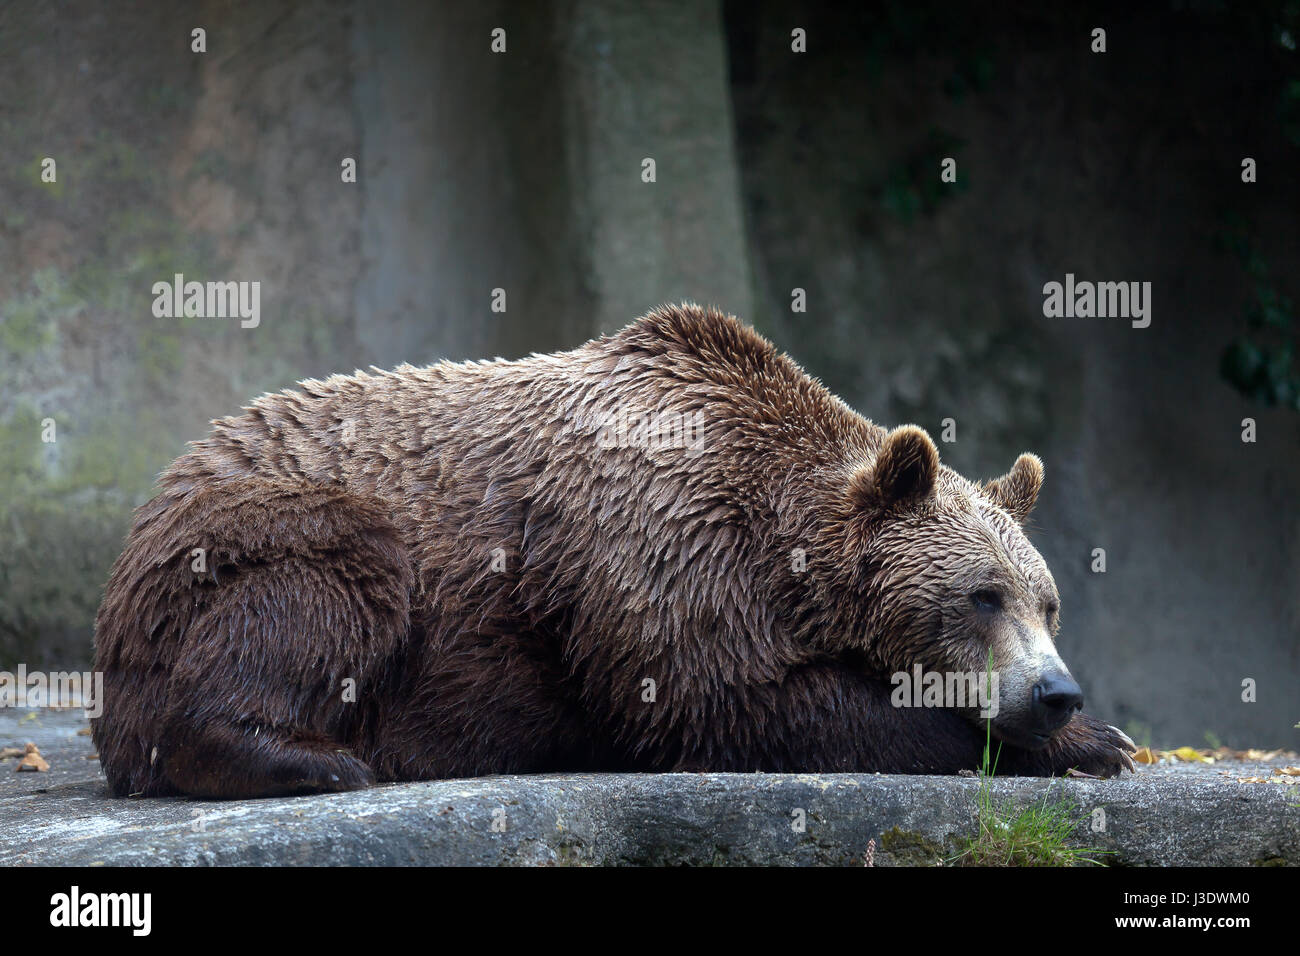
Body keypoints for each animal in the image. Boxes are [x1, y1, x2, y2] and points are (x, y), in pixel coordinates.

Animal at [91, 306, 1133, 801]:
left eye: (1048, 601)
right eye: (982, 595)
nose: (1057, 690)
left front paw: (1093, 737)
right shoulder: (653, 550)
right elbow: (735, 703)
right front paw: (1088, 743)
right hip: (249, 539)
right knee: (327, 589)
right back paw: (312, 759)